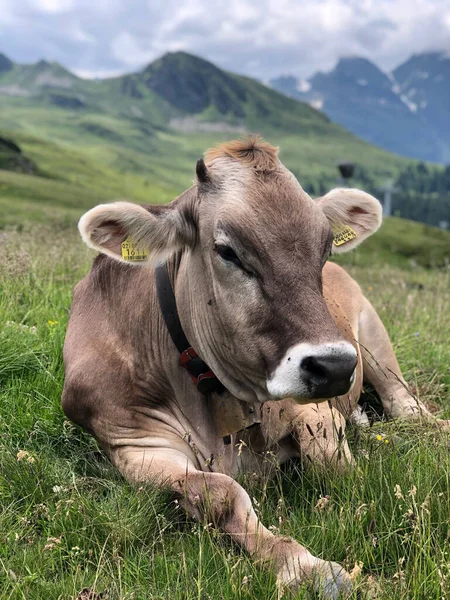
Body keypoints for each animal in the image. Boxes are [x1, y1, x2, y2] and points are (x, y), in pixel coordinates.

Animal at [63, 138, 446, 596]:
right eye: (227, 251)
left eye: (324, 249)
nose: (335, 367)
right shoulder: (133, 443)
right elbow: (221, 494)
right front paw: (302, 566)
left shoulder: (309, 406)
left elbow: (333, 467)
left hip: (374, 340)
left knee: (408, 407)